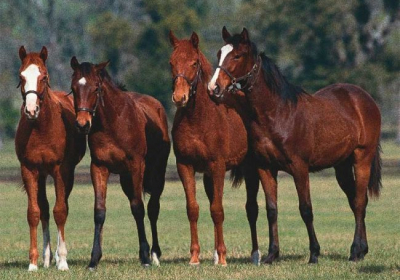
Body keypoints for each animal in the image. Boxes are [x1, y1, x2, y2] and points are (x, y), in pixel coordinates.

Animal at [15, 46, 86, 272]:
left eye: (43, 77)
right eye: (21, 76)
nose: (31, 110)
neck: (41, 128)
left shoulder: (61, 171)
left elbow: (60, 211)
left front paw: (62, 261)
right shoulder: (29, 170)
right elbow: (34, 213)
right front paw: (33, 263)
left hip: (64, 175)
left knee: (60, 207)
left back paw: (55, 256)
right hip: (41, 175)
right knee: (45, 209)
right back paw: (46, 258)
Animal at [69, 57, 170, 270]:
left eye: (96, 88)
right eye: (73, 88)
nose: (82, 124)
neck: (113, 122)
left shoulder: (136, 166)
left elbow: (138, 208)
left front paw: (145, 258)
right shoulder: (99, 167)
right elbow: (99, 211)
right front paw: (94, 260)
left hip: (157, 174)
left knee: (153, 208)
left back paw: (154, 254)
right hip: (126, 180)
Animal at [169, 31, 262, 266]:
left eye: (194, 63)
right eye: (171, 63)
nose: (180, 97)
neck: (199, 118)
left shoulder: (218, 166)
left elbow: (218, 210)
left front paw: (223, 257)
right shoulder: (185, 166)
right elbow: (193, 209)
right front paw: (195, 257)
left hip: (250, 170)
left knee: (252, 208)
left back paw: (255, 255)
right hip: (208, 176)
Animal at [208, 27, 382, 264]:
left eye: (237, 55)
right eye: (219, 53)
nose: (213, 87)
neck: (278, 113)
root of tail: (364, 99)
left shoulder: (300, 168)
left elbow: (306, 209)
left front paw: (314, 254)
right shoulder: (265, 168)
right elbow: (271, 209)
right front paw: (271, 254)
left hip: (361, 158)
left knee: (359, 202)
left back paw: (355, 251)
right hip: (342, 166)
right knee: (355, 200)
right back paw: (361, 250)